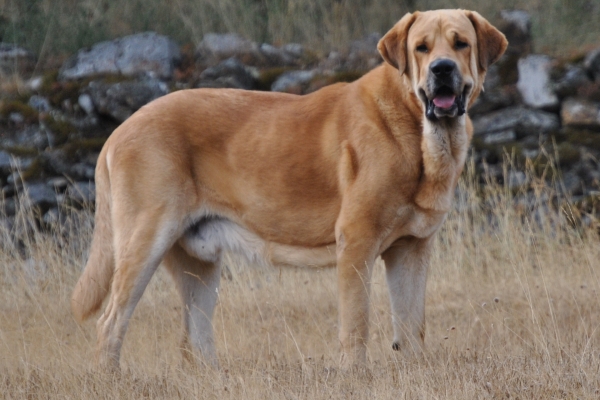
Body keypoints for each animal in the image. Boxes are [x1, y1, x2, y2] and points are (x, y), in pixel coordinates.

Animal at [72, 9, 508, 370]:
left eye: (460, 43)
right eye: (421, 47)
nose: (442, 68)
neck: (419, 133)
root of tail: (119, 130)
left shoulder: (412, 250)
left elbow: (412, 324)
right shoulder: (357, 243)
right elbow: (357, 323)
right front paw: (355, 376)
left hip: (199, 265)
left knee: (195, 336)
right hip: (145, 242)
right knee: (110, 323)